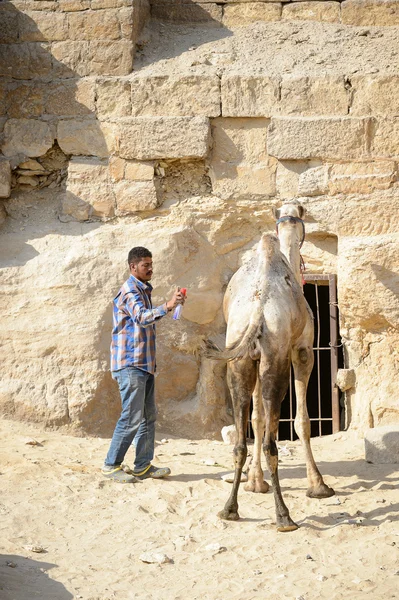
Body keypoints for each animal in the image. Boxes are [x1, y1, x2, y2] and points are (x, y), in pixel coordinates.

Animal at [206, 204, 334, 532]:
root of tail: (257, 312)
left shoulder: (252, 356)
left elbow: (256, 418)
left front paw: (255, 482)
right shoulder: (302, 351)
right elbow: (302, 421)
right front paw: (319, 486)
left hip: (240, 360)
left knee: (241, 441)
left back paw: (229, 509)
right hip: (276, 360)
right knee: (271, 443)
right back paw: (284, 516)